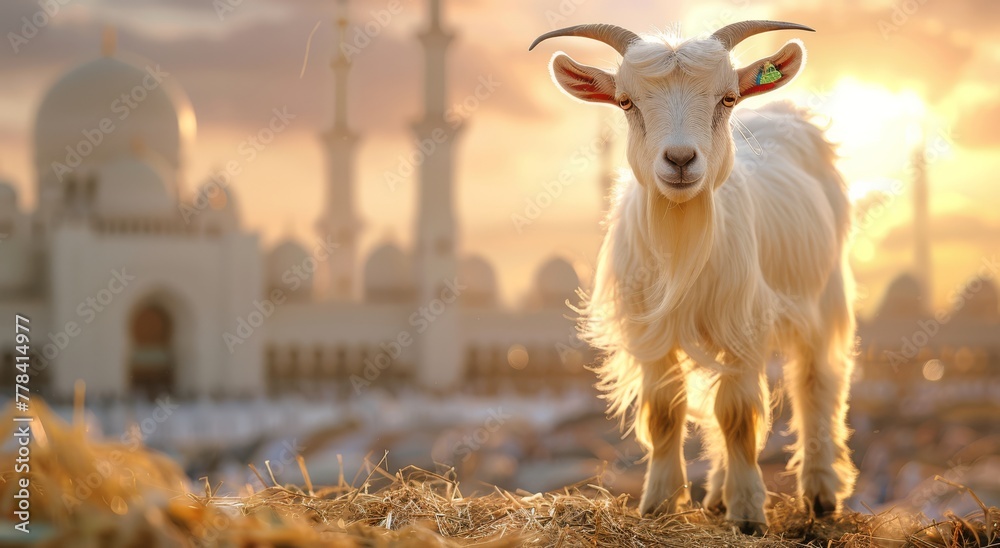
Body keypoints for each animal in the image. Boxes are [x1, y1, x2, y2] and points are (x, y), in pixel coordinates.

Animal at [530, 21, 858, 534]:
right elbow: (667, 412)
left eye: (727, 98)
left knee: (816, 382)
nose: (681, 159)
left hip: (825, 296)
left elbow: (738, 416)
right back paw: (717, 496)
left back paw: (821, 492)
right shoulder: (651, 332)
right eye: (626, 102)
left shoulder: (743, 325)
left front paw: (748, 514)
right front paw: (660, 504)